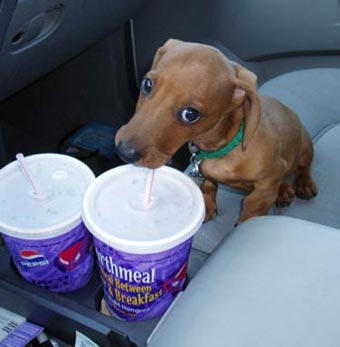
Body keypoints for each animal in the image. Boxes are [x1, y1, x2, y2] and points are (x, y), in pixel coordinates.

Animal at [115, 39, 318, 224]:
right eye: (147, 84)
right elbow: (209, 188)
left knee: (304, 167)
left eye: (190, 114)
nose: (124, 152)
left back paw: (303, 184)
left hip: (305, 147)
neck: (224, 147)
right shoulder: (206, 174)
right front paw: (206, 207)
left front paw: (243, 226)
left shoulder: (266, 185)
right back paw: (284, 190)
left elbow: (252, 208)